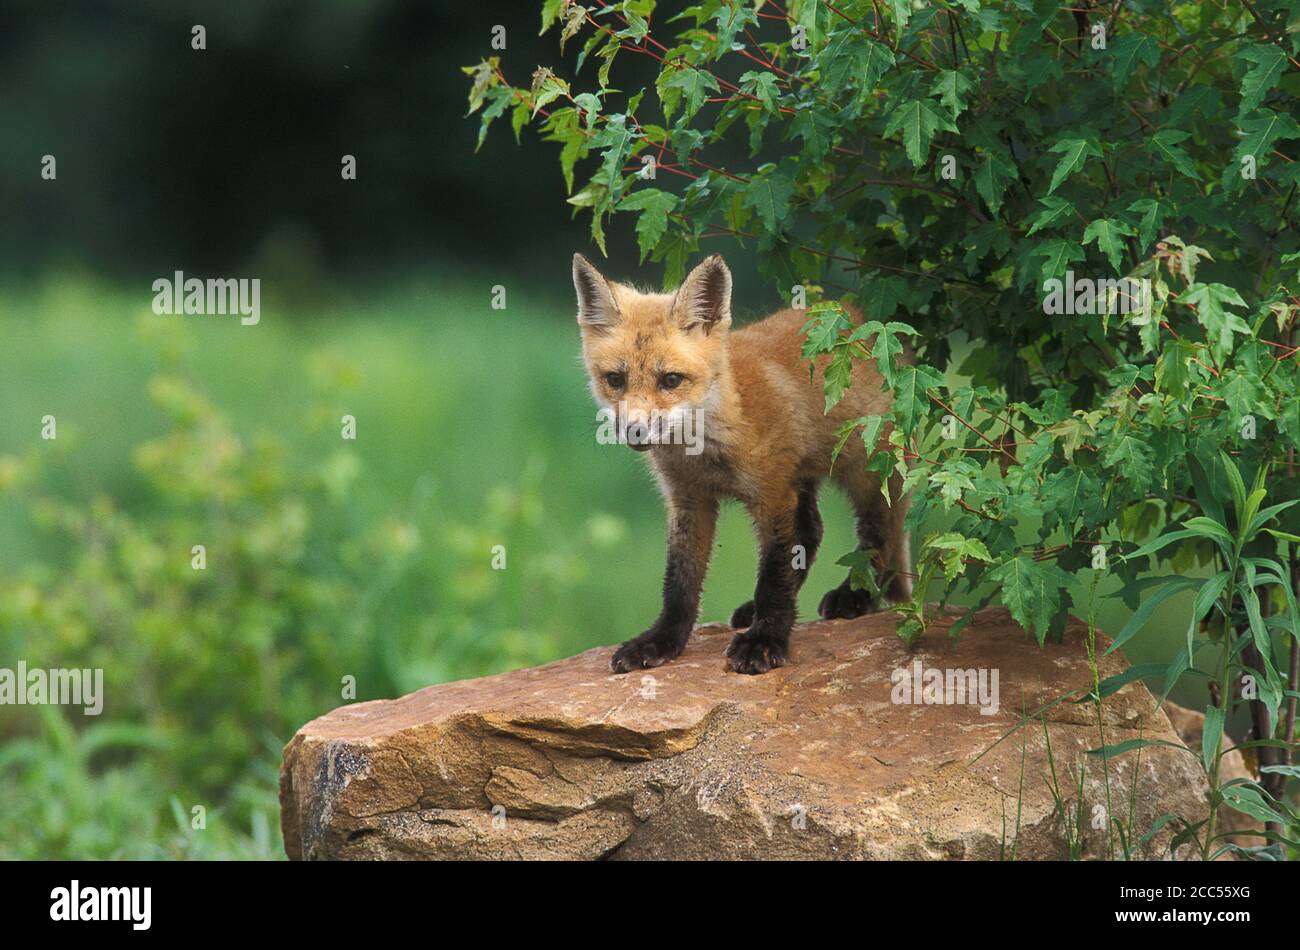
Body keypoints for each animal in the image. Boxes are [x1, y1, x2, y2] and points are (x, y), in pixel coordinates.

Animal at [574, 249, 909, 670]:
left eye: (670, 380)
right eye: (615, 380)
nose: (634, 430)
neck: (705, 450)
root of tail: (863, 316)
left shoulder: (772, 495)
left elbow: (774, 579)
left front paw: (764, 641)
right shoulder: (689, 500)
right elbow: (679, 583)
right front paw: (662, 641)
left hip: (863, 471)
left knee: (881, 532)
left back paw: (856, 595)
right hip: (803, 479)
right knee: (813, 531)